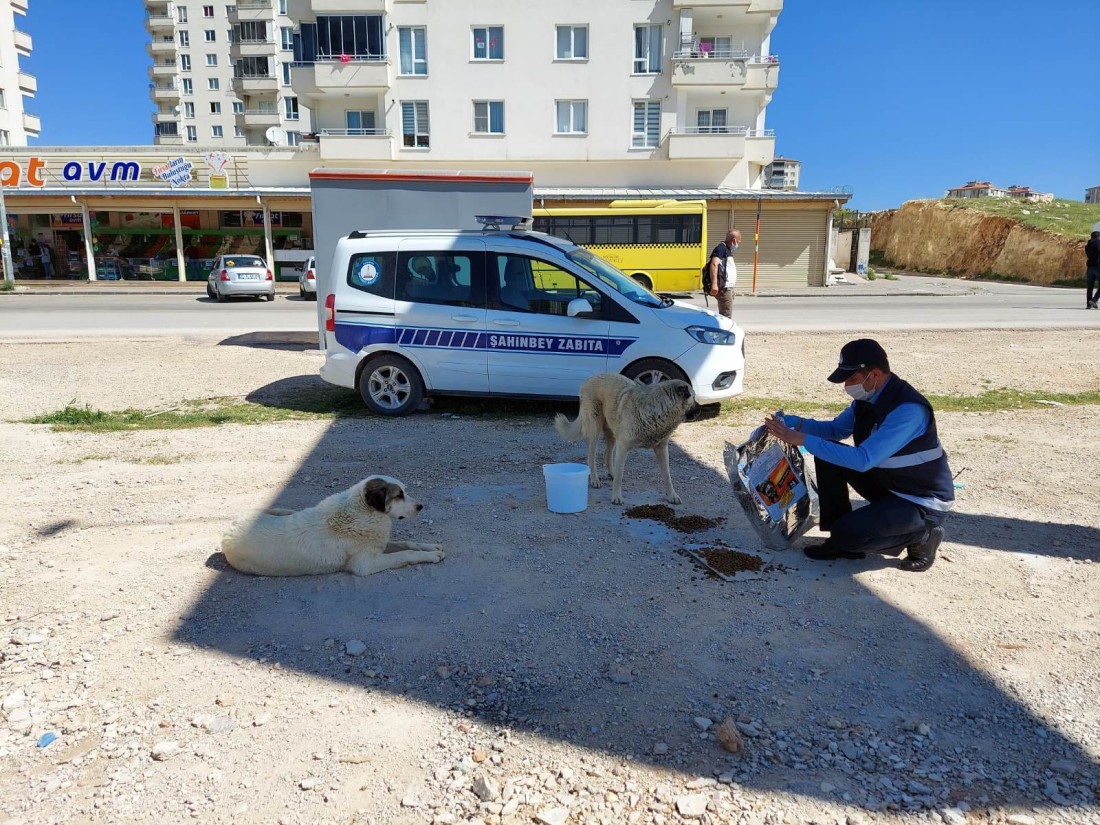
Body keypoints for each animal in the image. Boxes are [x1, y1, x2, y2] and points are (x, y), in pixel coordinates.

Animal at [221, 475, 444, 576]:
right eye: (399, 495)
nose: (421, 506)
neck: (362, 511)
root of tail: (228, 530)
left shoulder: (378, 543)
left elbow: (407, 543)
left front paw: (431, 547)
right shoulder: (366, 564)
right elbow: (404, 554)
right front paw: (431, 555)